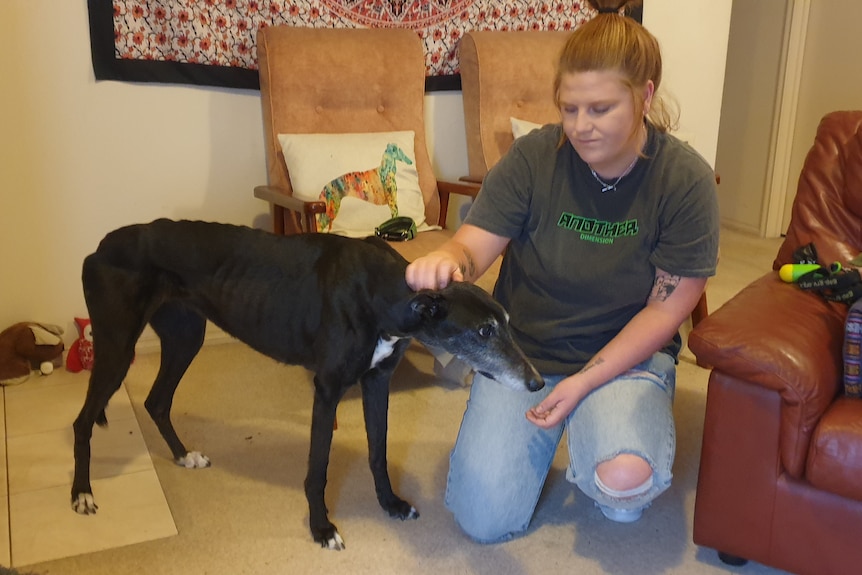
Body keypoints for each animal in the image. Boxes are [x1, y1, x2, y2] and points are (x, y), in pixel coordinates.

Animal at [74, 219, 548, 548]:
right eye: (484, 331)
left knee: (156, 401)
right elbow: (318, 468)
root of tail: (96, 249)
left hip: (184, 336)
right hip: (117, 345)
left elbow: (378, 452)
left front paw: (390, 504)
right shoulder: (328, 389)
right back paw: (82, 494)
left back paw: (182, 455)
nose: (538, 382)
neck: (381, 292)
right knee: (83, 422)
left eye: (506, 323)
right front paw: (321, 529)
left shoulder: (377, 382)